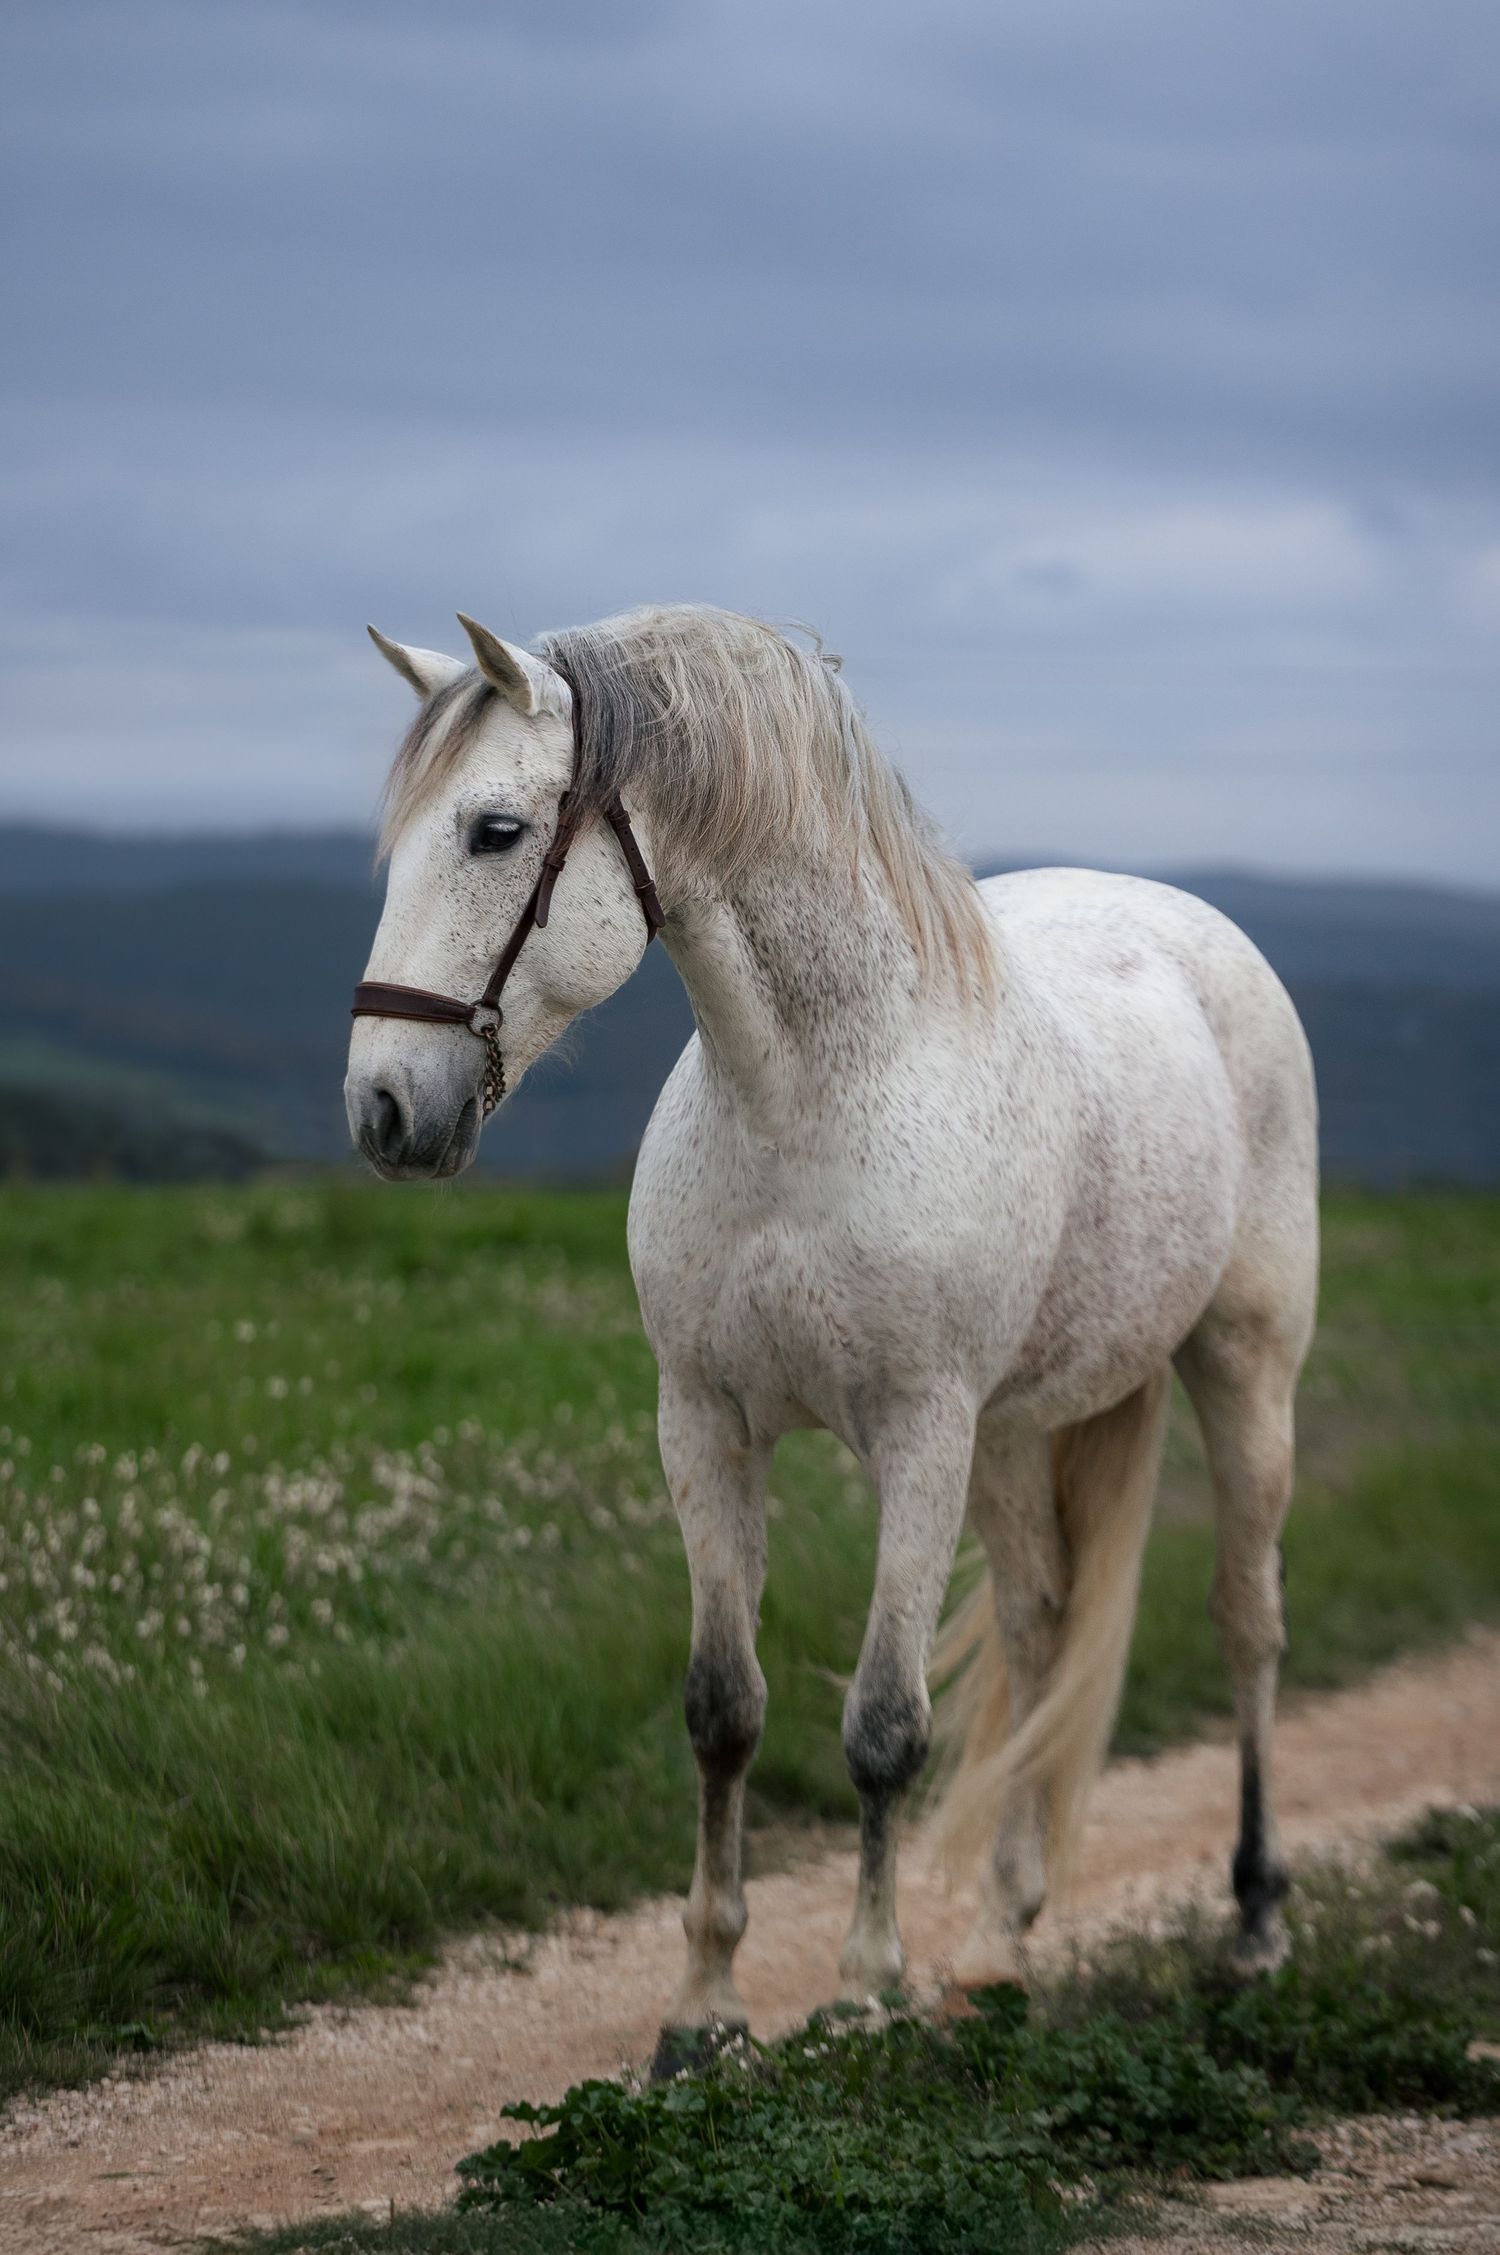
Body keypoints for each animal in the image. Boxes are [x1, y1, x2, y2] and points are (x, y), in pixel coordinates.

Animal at [345, 603, 1319, 2060]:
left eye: (496, 830)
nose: (385, 1109)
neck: (804, 1097)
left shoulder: (915, 1433)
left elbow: (883, 1725)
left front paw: (864, 1987)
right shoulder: (705, 1422)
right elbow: (723, 1707)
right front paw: (704, 2006)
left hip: (1239, 1368)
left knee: (1247, 1620)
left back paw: (1253, 1916)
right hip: (1014, 1432)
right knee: (1039, 1624)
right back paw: (999, 1937)